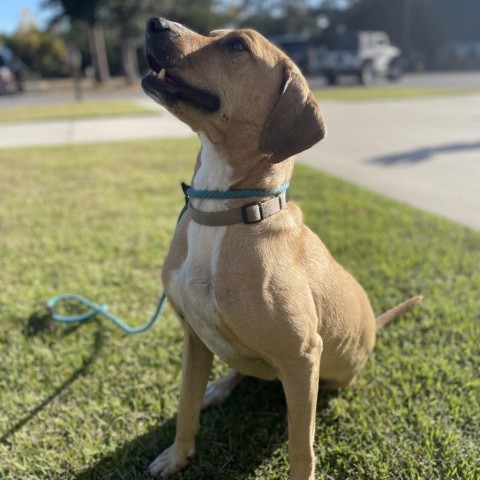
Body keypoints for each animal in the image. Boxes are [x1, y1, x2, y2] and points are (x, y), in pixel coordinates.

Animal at [141, 16, 422, 478]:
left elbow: (300, 447)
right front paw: (178, 455)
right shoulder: (194, 338)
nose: (154, 22)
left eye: (237, 46)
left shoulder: (301, 357)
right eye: (213, 33)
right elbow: (185, 408)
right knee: (241, 370)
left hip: (331, 372)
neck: (228, 213)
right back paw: (220, 386)